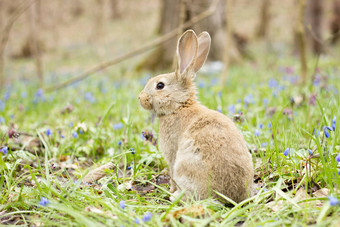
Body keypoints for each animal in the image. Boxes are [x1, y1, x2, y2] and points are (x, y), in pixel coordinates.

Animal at [138, 29, 252, 202]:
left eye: (160, 85)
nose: (140, 98)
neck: (179, 106)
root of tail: (231, 197)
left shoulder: (172, 154)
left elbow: (171, 174)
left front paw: (170, 190)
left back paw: (174, 196)